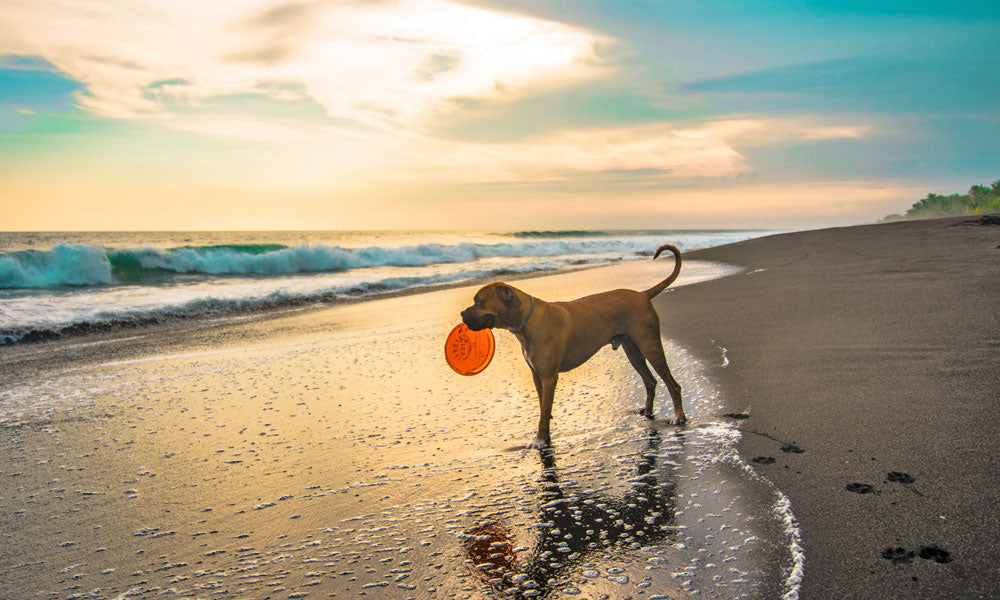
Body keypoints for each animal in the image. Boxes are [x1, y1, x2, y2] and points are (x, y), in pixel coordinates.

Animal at [462, 243, 688, 446]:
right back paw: (648, 409)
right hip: (633, 350)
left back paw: (679, 416)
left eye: (478, 301)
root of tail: (643, 294)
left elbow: (544, 411)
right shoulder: (537, 376)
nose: (462, 314)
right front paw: (545, 431)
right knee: (650, 380)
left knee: (673, 384)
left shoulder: (549, 378)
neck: (528, 320)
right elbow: (543, 406)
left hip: (651, 346)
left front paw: (540, 439)